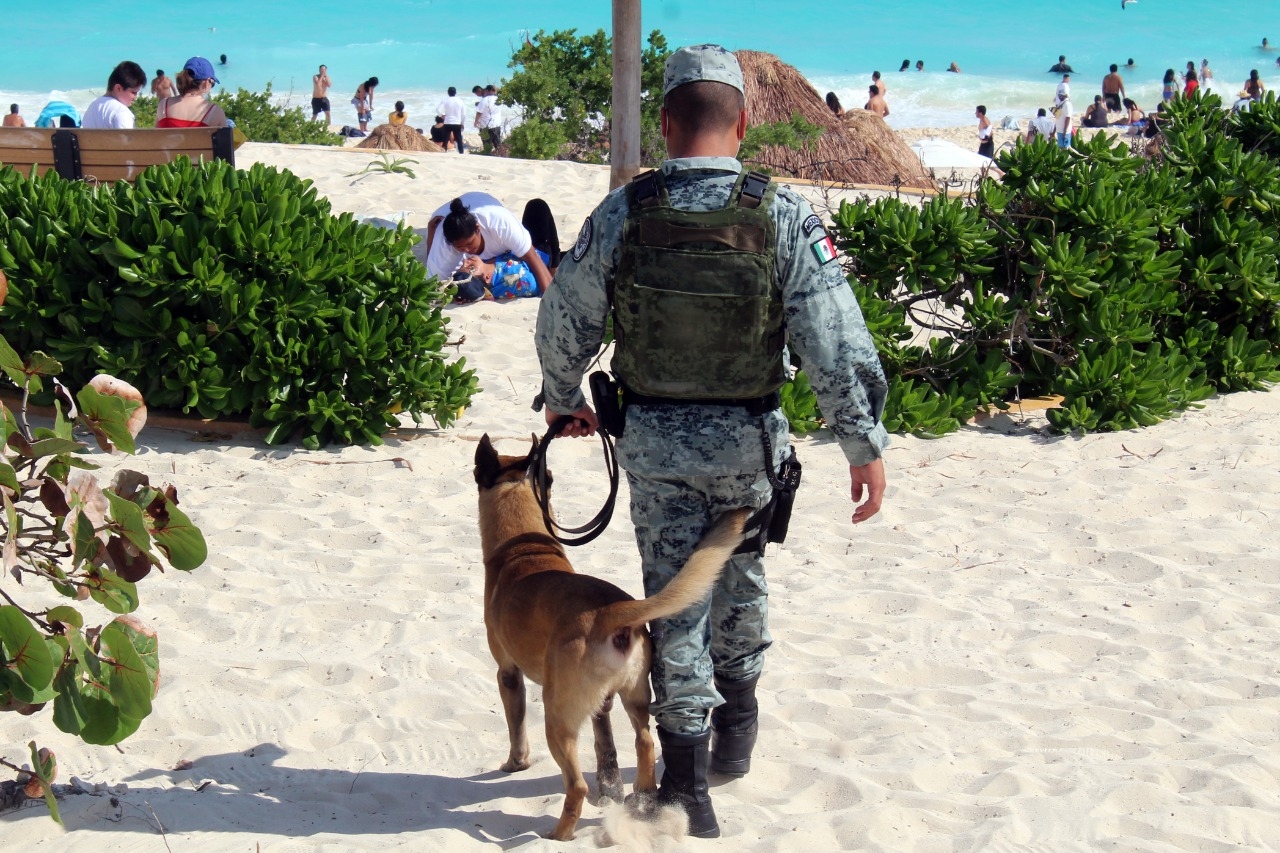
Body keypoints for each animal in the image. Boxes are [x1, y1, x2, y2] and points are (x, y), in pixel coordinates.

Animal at [476, 432, 747, 835]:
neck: (521, 547)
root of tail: (610, 613)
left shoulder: (507, 674)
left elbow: (516, 728)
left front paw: (515, 764)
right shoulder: (601, 701)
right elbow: (605, 744)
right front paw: (612, 788)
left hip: (557, 717)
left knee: (576, 786)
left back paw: (559, 834)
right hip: (634, 695)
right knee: (646, 742)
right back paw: (643, 797)